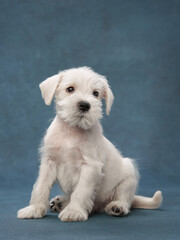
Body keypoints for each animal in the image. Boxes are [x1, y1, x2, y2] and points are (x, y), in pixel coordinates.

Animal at [17, 66, 162, 222]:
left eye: (95, 93)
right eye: (70, 89)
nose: (85, 105)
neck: (72, 131)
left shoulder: (90, 166)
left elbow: (81, 191)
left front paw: (73, 211)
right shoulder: (49, 161)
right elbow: (41, 187)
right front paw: (34, 209)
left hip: (129, 173)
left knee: (124, 197)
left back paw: (117, 207)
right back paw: (60, 203)